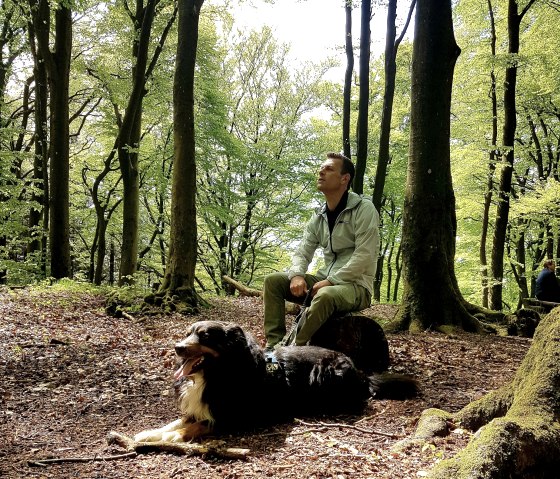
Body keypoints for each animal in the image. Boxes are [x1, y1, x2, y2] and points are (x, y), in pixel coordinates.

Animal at [135, 320, 416, 444]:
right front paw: (149, 433)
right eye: (187, 333)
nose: (177, 347)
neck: (220, 373)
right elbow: (178, 421)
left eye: (204, 336)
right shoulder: (201, 408)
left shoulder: (234, 418)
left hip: (326, 374)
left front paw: (168, 438)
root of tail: (360, 372)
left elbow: (192, 427)